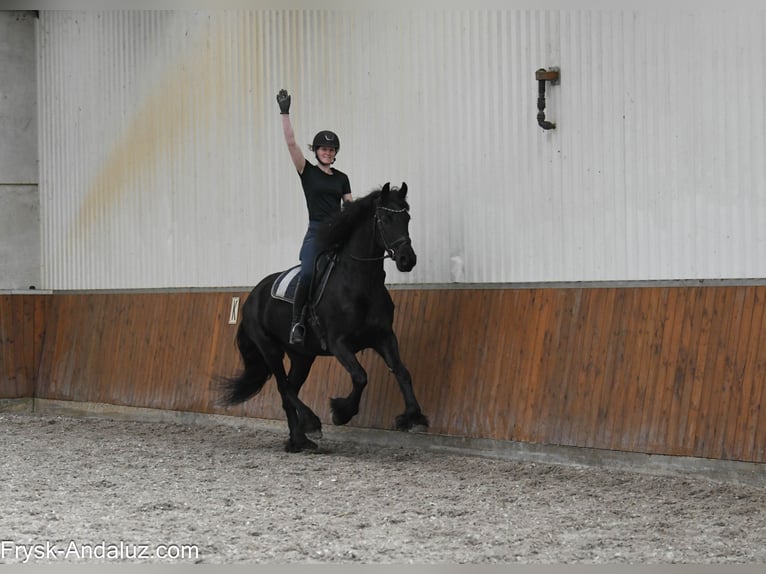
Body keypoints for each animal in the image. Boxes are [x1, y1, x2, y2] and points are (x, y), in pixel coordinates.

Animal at [219, 182, 429, 452]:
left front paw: (414, 417)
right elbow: (360, 376)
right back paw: (311, 423)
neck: (360, 283)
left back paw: (299, 440)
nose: (407, 259)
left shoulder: (384, 336)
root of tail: (253, 295)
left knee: (289, 389)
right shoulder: (338, 343)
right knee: (284, 386)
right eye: (385, 218)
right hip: (269, 349)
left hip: (302, 356)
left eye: (407, 218)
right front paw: (341, 413)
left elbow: (402, 371)